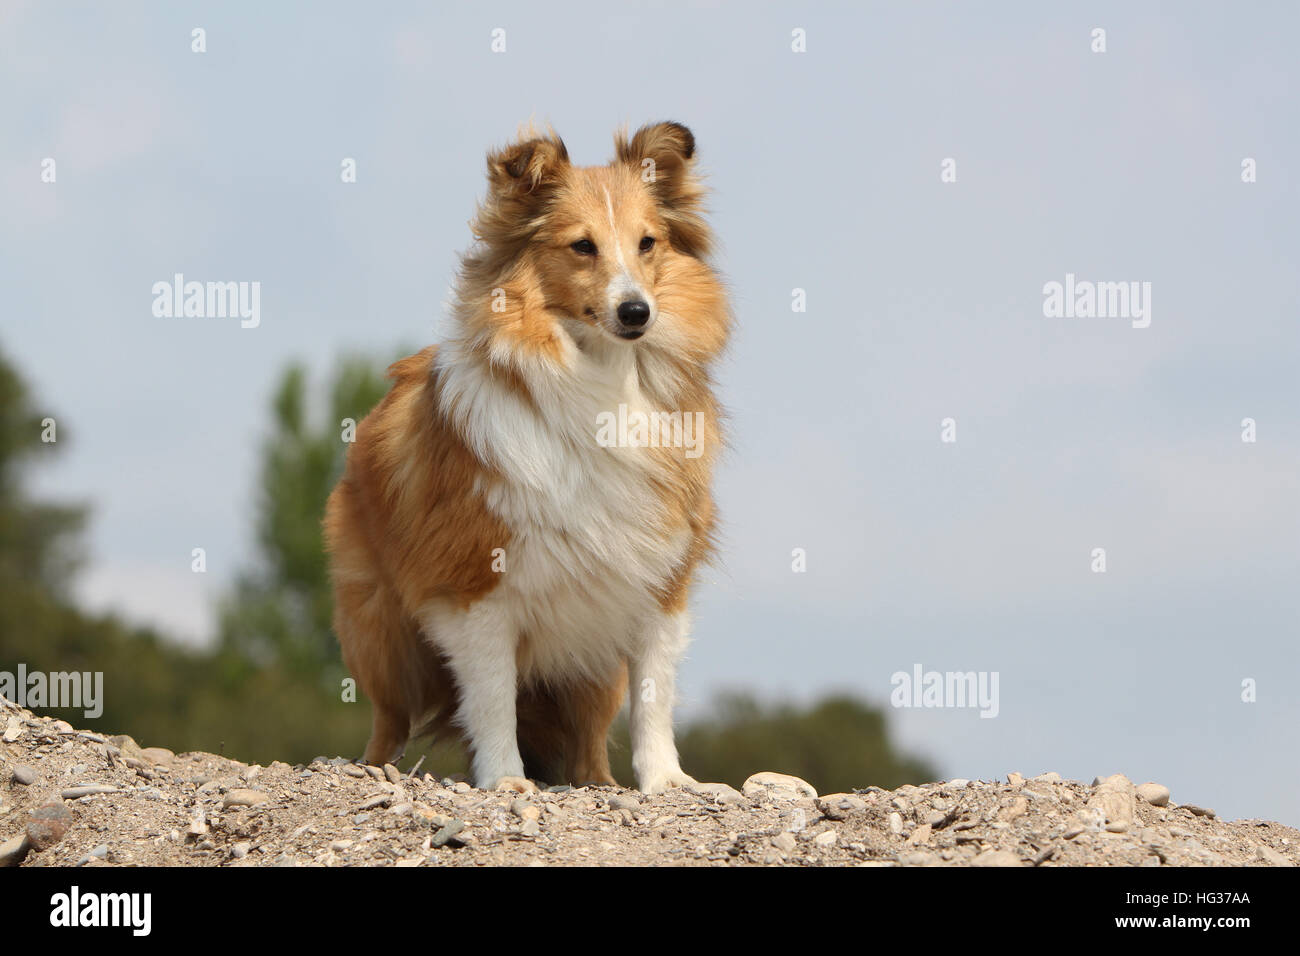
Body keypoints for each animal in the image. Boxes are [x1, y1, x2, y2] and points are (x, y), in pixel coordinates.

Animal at [322, 121, 733, 790]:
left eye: (647, 243)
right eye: (582, 247)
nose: (637, 312)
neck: (603, 379)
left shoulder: (658, 580)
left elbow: (655, 690)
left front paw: (668, 782)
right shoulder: (476, 587)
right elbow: (491, 697)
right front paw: (505, 780)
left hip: (591, 667)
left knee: (589, 738)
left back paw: (601, 784)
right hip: (381, 635)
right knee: (389, 718)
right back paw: (372, 769)